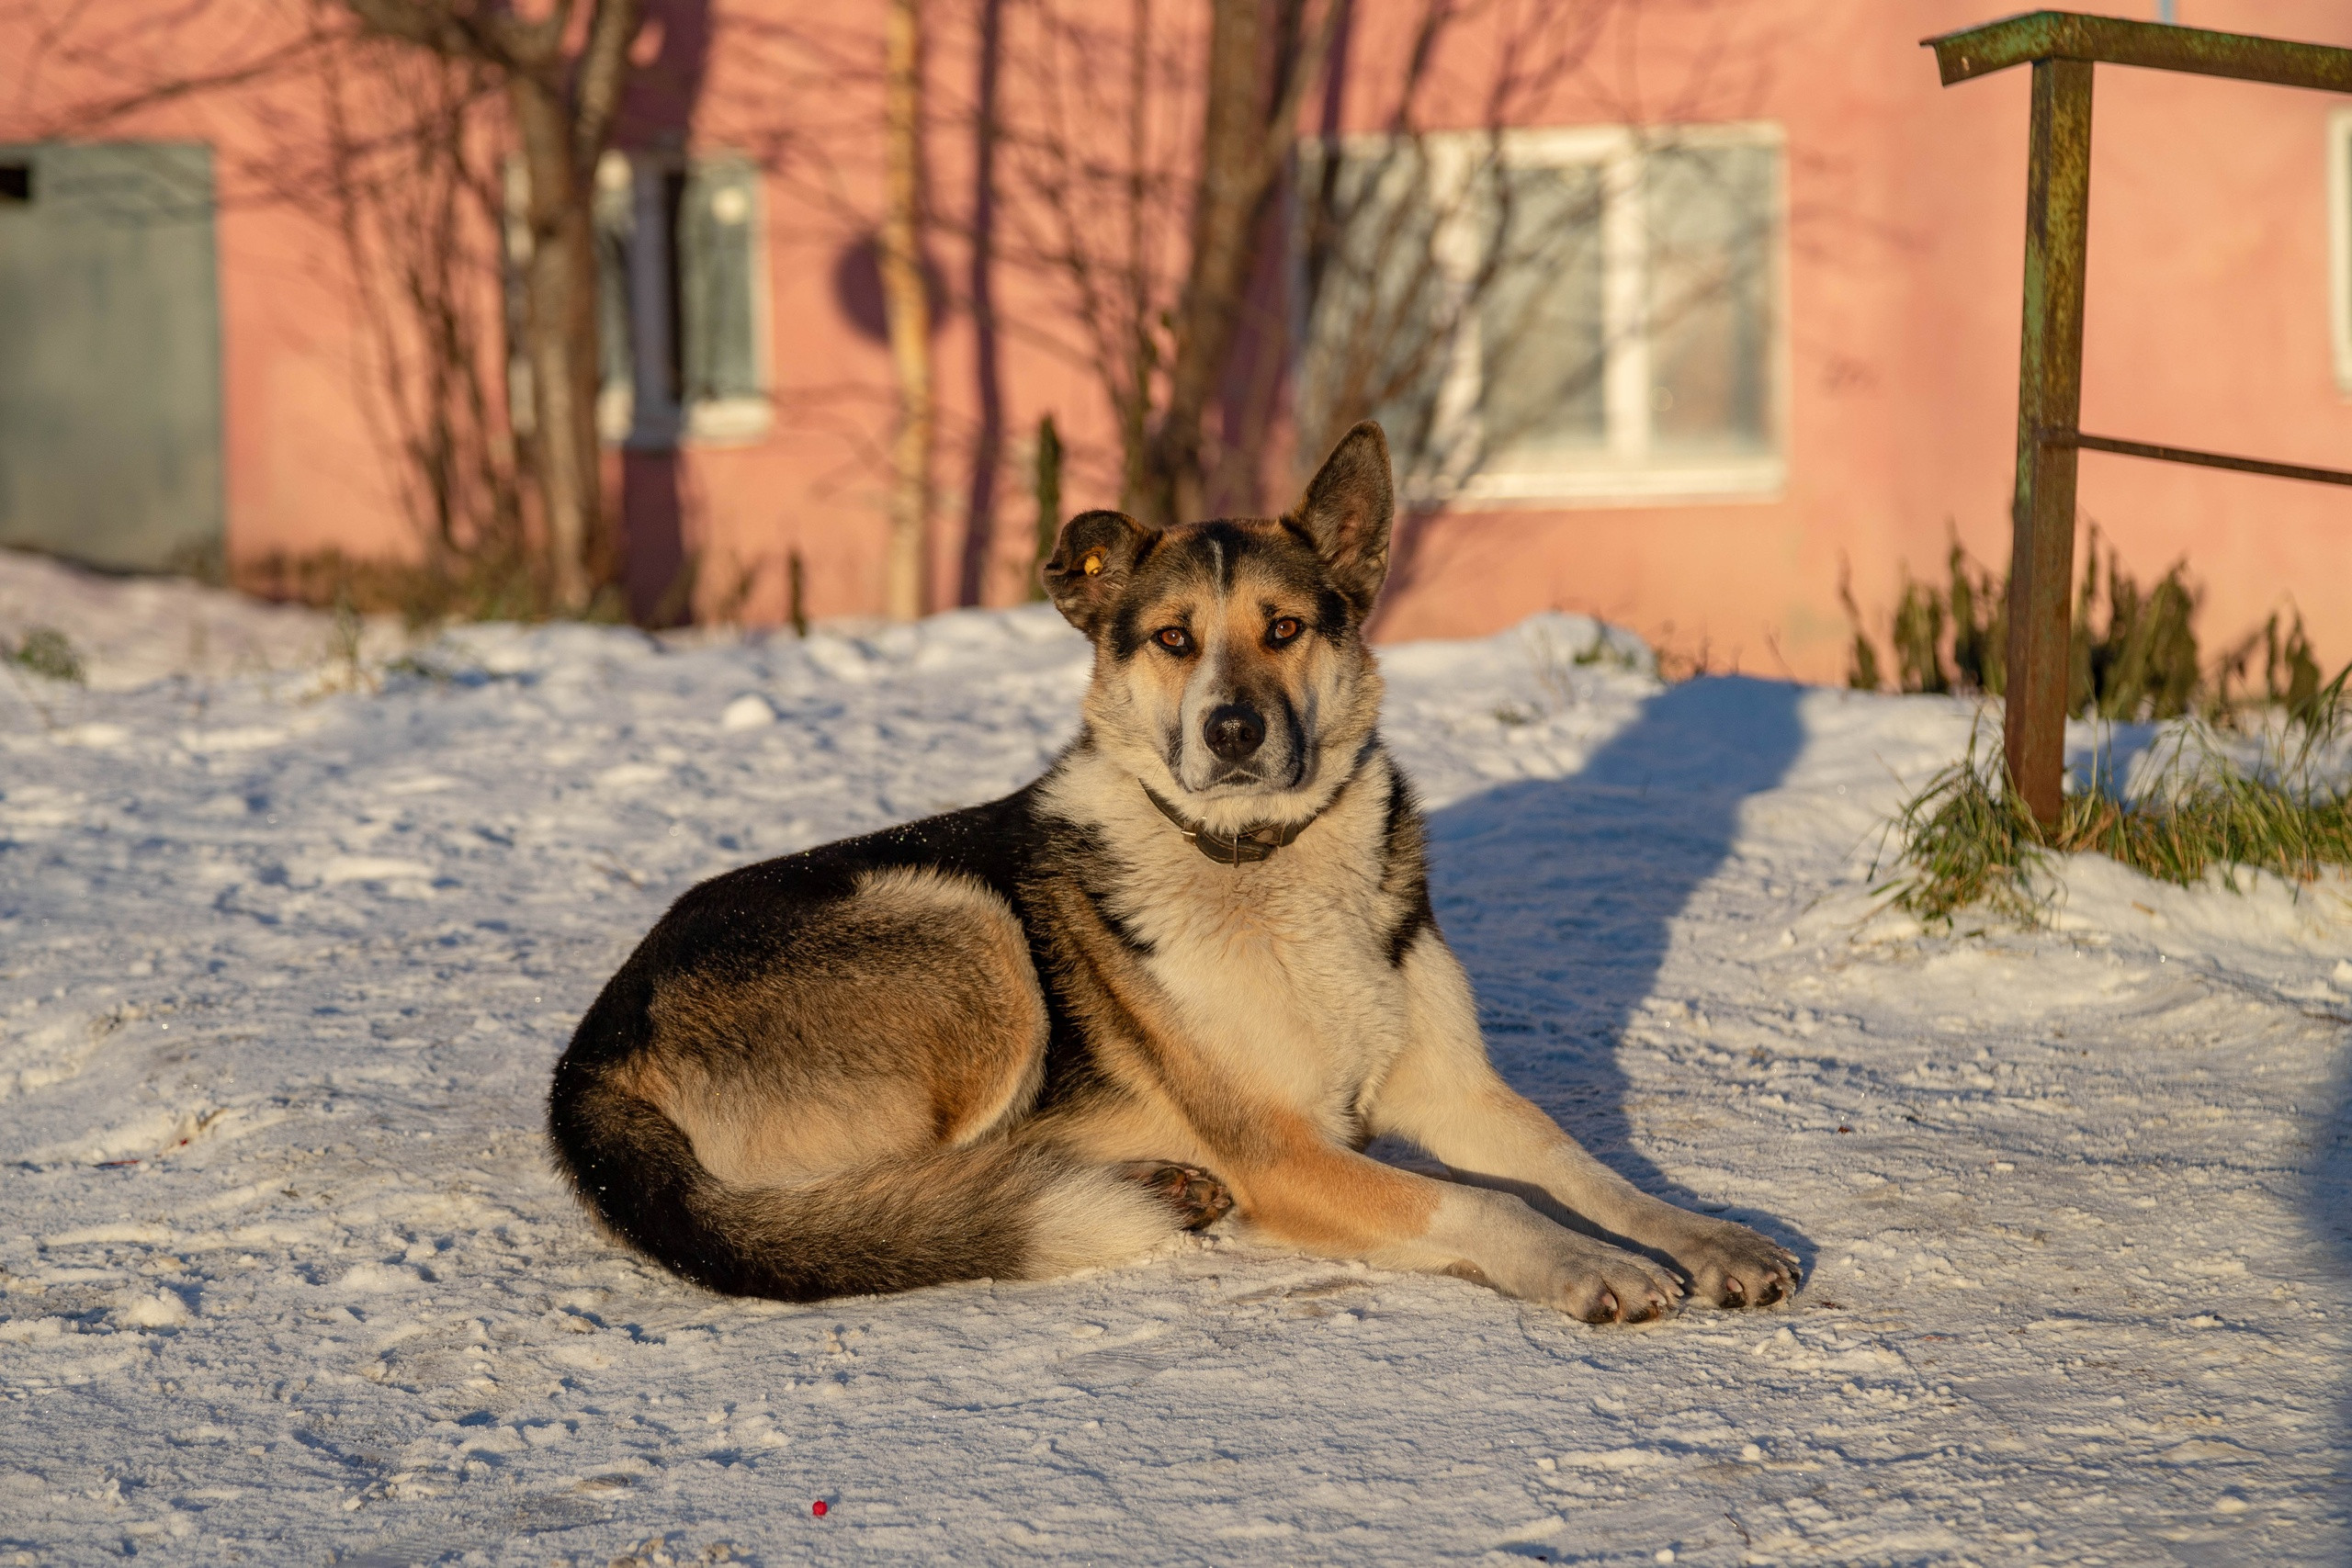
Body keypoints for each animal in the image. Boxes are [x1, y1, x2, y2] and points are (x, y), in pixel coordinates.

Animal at [550, 423, 1796, 1316]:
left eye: (1285, 628)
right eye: (1173, 640)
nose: (1231, 730)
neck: (1257, 862)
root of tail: (588, 1054)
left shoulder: (1455, 1090)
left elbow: (1586, 1171)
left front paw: (1708, 1235)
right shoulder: (1282, 1153)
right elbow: (1476, 1208)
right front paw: (1588, 1267)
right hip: (962, 930)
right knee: (893, 1207)